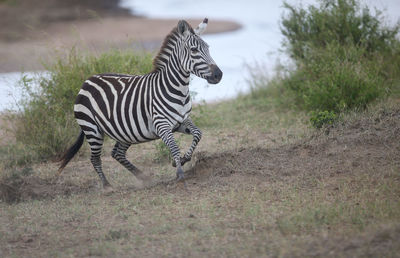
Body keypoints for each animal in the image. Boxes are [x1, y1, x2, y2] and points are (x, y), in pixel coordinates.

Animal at [57, 17, 223, 188]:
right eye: (194, 50)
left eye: (208, 48)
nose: (218, 75)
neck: (178, 89)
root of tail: (87, 81)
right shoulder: (162, 125)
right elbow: (174, 147)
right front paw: (180, 174)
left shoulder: (182, 121)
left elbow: (198, 133)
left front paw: (183, 160)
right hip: (92, 129)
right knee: (95, 158)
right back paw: (107, 186)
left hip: (125, 131)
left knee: (117, 153)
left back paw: (143, 177)